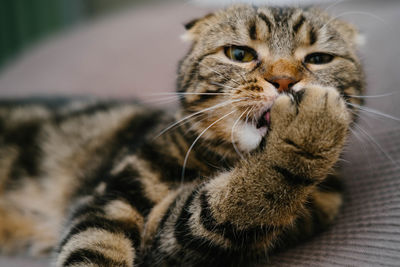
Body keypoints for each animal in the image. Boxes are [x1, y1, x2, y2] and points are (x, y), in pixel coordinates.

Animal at [0, 4, 364, 267]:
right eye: (240, 54)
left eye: (319, 59)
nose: (285, 80)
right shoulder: (110, 200)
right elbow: (93, 248)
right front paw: (309, 128)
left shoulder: (169, 240)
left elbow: (227, 208)